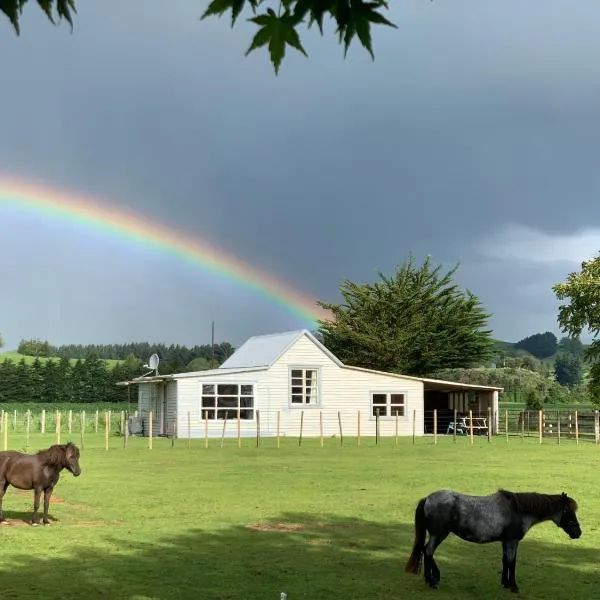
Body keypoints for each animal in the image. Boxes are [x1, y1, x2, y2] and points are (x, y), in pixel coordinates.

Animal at [404, 490, 580, 592]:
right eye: (567, 510)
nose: (578, 532)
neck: (517, 510)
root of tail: (427, 499)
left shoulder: (505, 542)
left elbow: (505, 560)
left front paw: (505, 583)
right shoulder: (512, 541)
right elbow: (512, 562)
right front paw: (514, 586)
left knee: (426, 551)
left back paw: (430, 579)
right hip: (439, 534)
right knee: (428, 551)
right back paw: (432, 581)